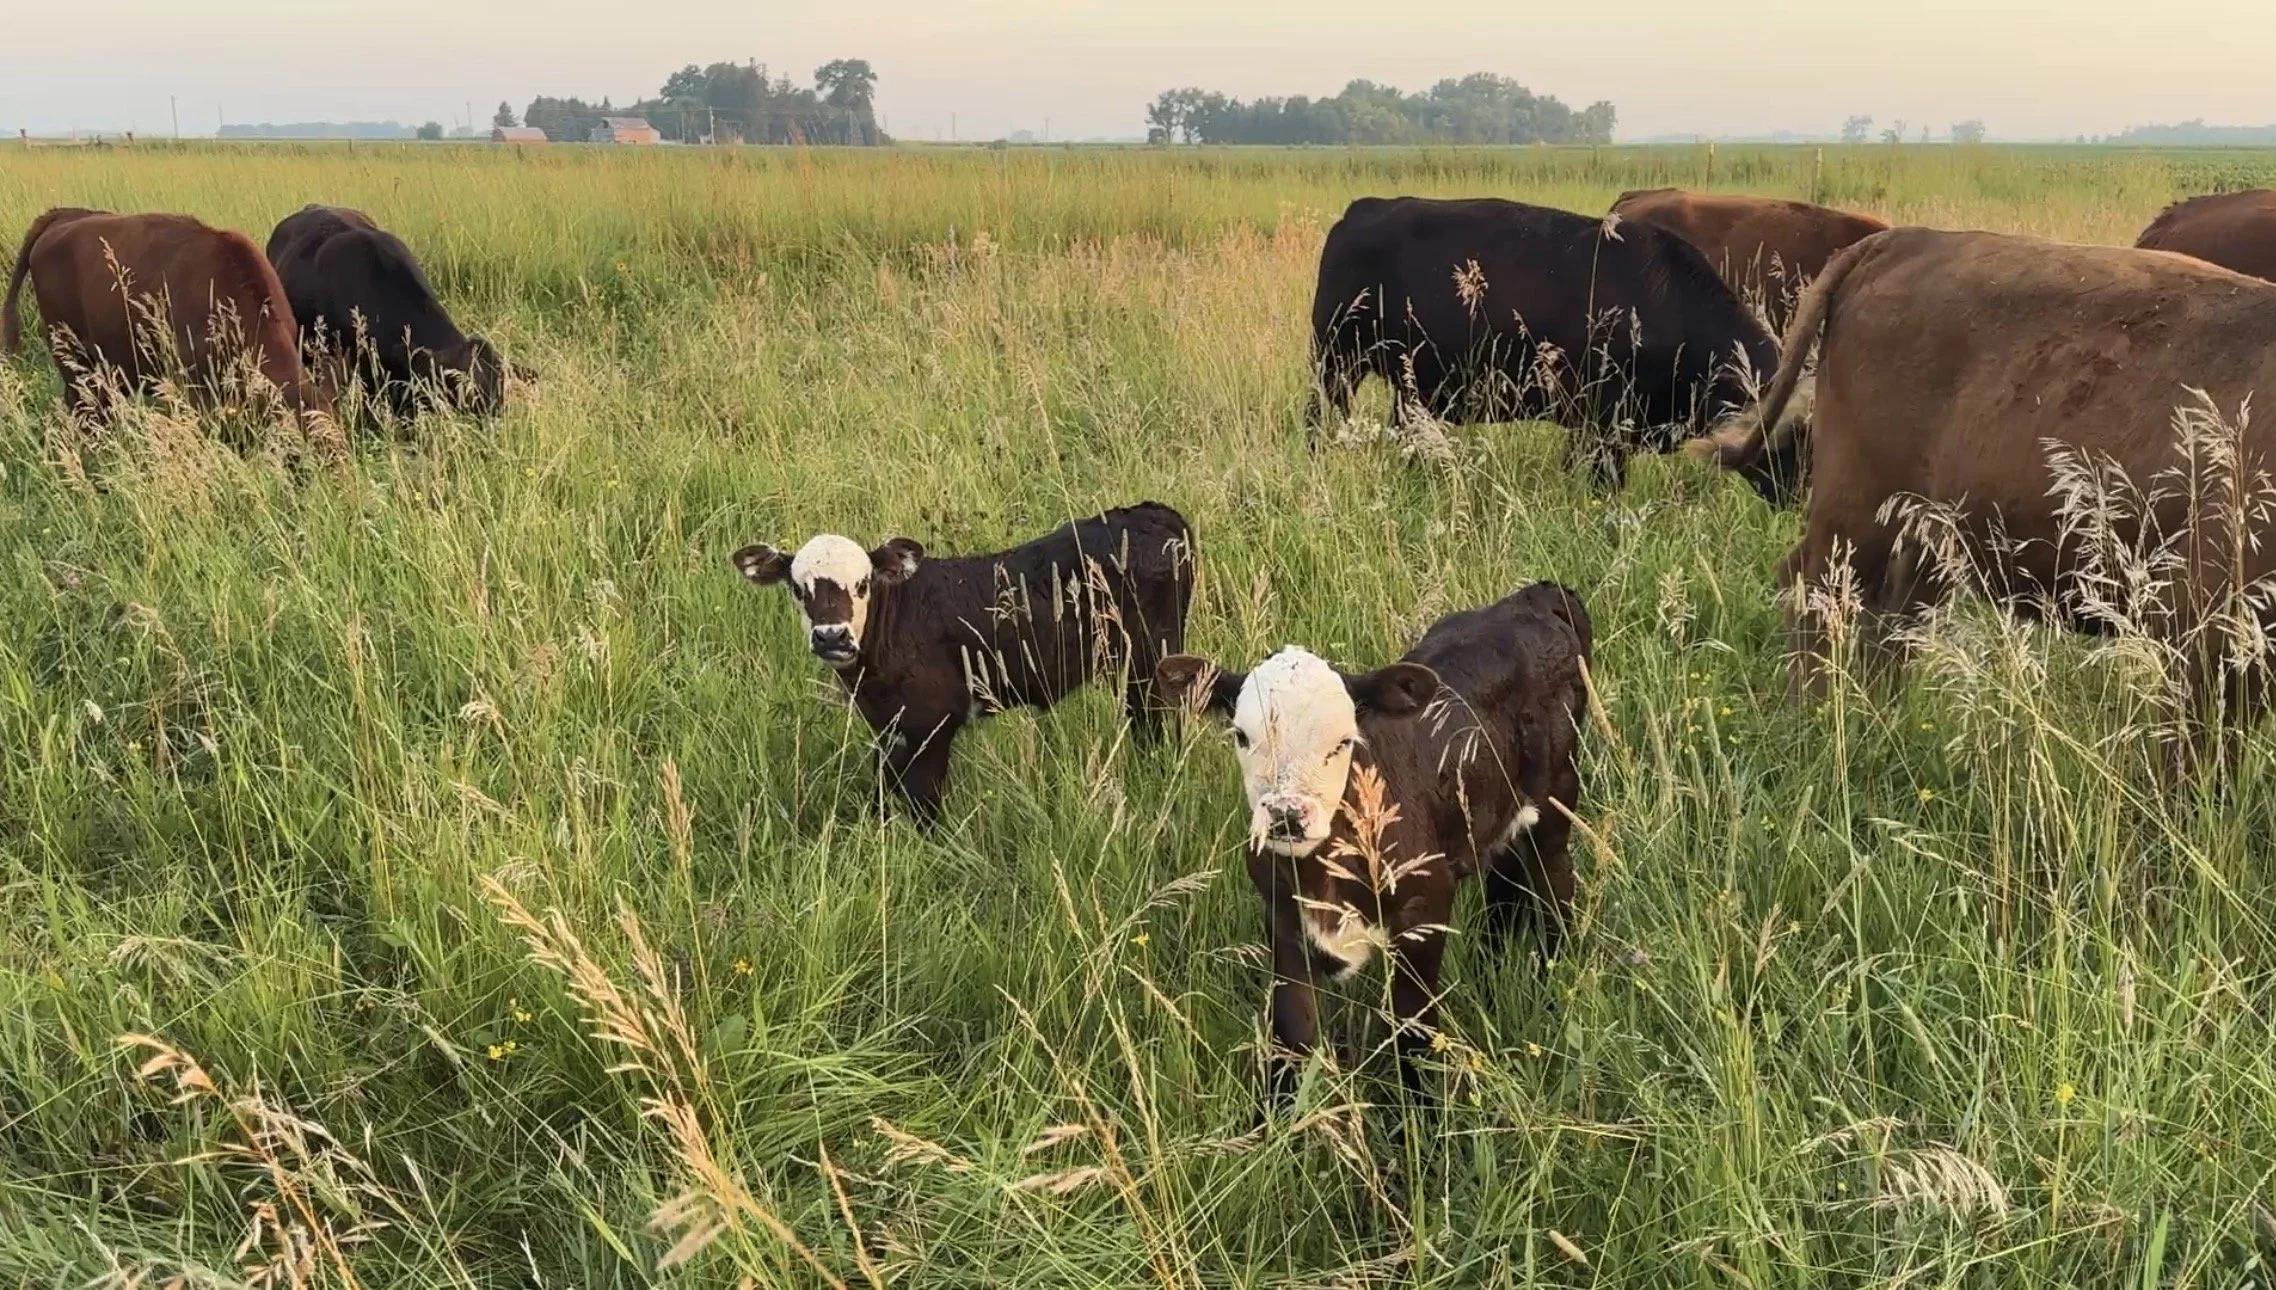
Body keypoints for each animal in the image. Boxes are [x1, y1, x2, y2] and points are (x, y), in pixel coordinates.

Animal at [731, 503, 1196, 825]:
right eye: (797, 588)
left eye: (862, 584)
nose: (832, 636)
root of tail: (1151, 513)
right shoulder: (891, 730)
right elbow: (884, 788)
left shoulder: (932, 725)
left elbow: (924, 805)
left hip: (1151, 663)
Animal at [1155, 581, 1591, 1104]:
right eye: (1241, 735)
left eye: (1343, 741)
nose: (1287, 814)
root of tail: (1536, 594)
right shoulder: (1283, 921)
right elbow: (1292, 1037)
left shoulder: (1425, 908)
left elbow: (1414, 1034)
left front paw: (1422, 1117)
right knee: (1504, 890)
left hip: (1557, 801)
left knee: (1554, 887)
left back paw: (1552, 981)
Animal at [1691, 226, 2276, 734]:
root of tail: (1901, 239)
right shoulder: (2206, 632)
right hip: (1856, 516)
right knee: (1816, 594)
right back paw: (1813, 718)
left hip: (1925, 535)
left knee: (1891, 617)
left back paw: (1881, 723)